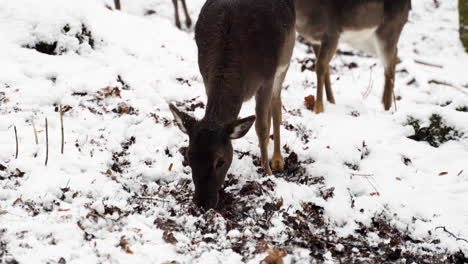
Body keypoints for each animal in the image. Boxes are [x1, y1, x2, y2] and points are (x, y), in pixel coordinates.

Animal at [169, 0, 296, 208]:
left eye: (220, 161)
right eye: (189, 156)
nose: (202, 202)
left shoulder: (267, 78)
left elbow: (262, 127)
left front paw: (267, 173)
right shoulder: (206, 77)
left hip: (286, 57)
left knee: (276, 106)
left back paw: (277, 160)